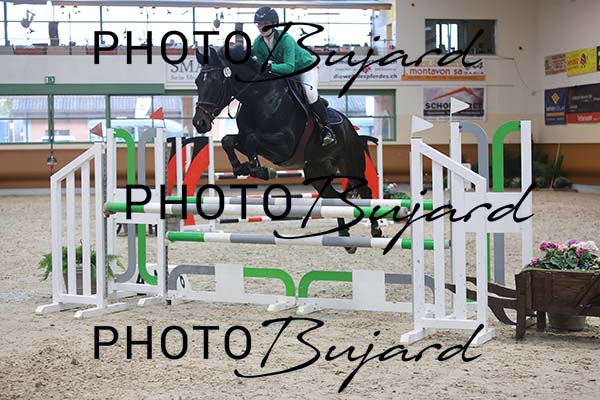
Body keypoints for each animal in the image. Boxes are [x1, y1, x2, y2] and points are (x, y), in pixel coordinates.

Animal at [191, 44, 383, 253]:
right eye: (197, 82)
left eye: (216, 82)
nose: (199, 123)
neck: (258, 96)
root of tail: (351, 128)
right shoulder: (245, 138)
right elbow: (229, 141)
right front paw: (241, 168)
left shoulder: (285, 144)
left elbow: (252, 140)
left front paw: (259, 169)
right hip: (317, 170)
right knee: (333, 198)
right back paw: (345, 238)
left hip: (351, 163)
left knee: (366, 191)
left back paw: (376, 231)